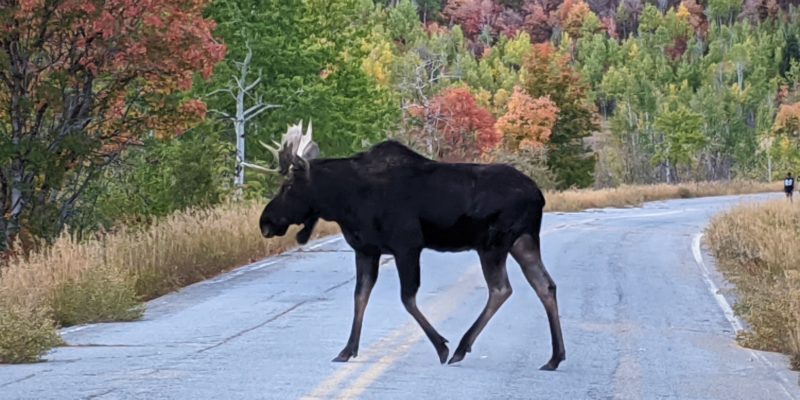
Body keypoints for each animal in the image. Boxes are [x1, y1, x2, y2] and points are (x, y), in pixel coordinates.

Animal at [247, 122, 564, 372]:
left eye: (288, 186)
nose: (265, 221)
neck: (344, 202)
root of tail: (539, 196)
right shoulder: (366, 250)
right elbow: (360, 296)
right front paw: (347, 350)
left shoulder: (407, 245)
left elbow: (407, 298)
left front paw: (441, 346)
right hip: (523, 241)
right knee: (545, 285)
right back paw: (554, 357)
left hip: (493, 244)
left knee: (501, 289)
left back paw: (461, 347)